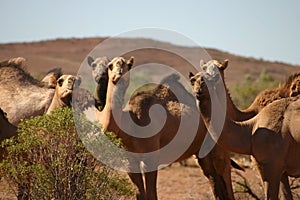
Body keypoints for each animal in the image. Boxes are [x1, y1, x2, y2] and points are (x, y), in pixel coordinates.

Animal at [86, 55, 241, 199]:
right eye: (110, 66)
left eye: (129, 65)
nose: (118, 74)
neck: (129, 123)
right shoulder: (129, 162)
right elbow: (140, 194)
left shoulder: (150, 158)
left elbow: (151, 195)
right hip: (203, 154)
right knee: (214, 181)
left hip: (220, 147)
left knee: (225, 178)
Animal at [190, 65, 300, 199]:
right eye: (193, 80)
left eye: (209, 80)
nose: (198, 90)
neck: (251, 129)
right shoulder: (280, 168)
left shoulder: (271, 165)